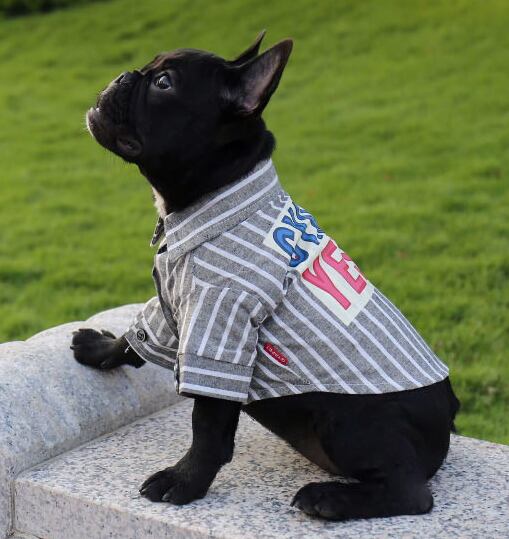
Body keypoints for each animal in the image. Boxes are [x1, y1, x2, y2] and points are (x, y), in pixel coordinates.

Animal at [71, 32, 460, 521]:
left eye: (163, 83)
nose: (125, 75)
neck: (216, 192)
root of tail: (449, 414)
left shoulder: (220, 322)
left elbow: (207, 426)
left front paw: (184, 481)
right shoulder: (174, 306)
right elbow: (136, 335)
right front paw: (100, 347)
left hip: (348, 420)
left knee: (412, 493)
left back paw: (328, 498)